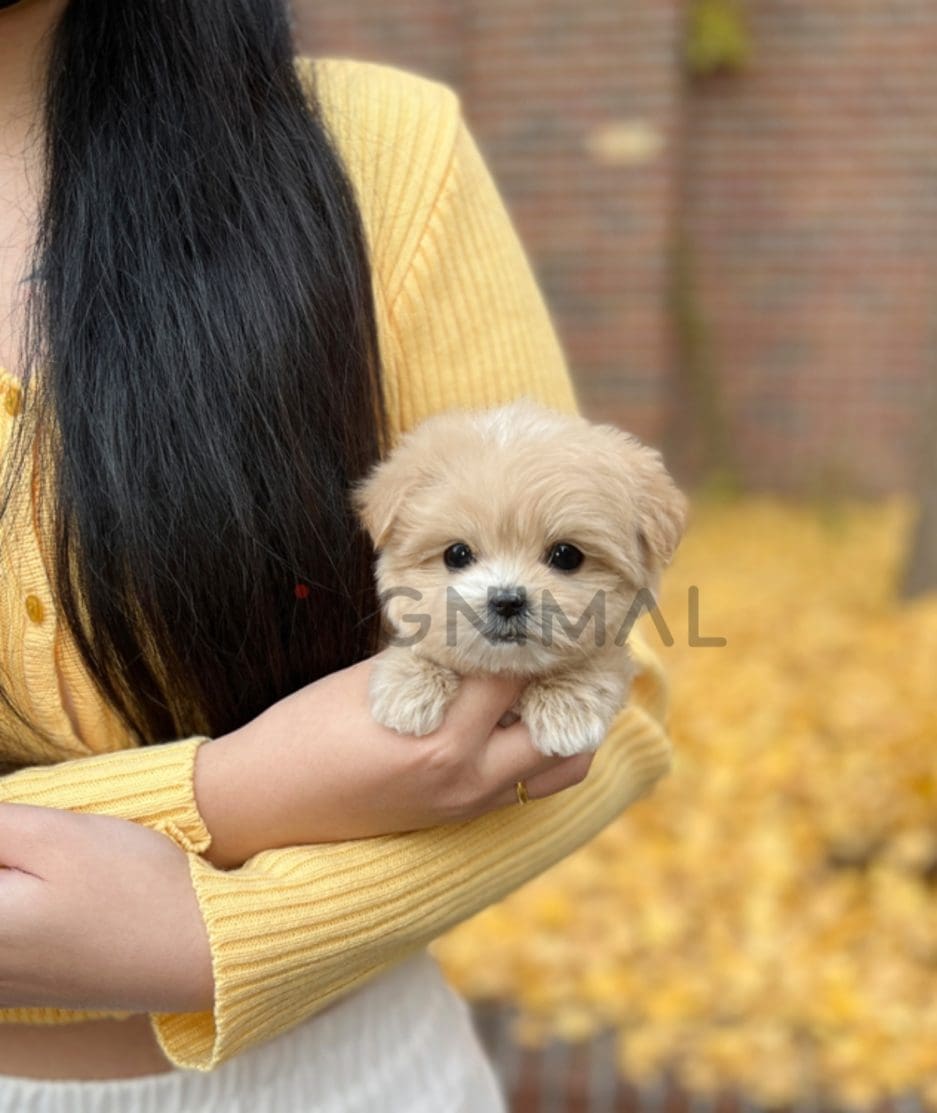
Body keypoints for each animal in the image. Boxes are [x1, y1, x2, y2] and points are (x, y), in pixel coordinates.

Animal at [353, 398, 681, 756]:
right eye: (457, 554)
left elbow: (605, 660)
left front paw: (566, 705)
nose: (507, 601)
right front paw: (409, 682)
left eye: (566, 556)